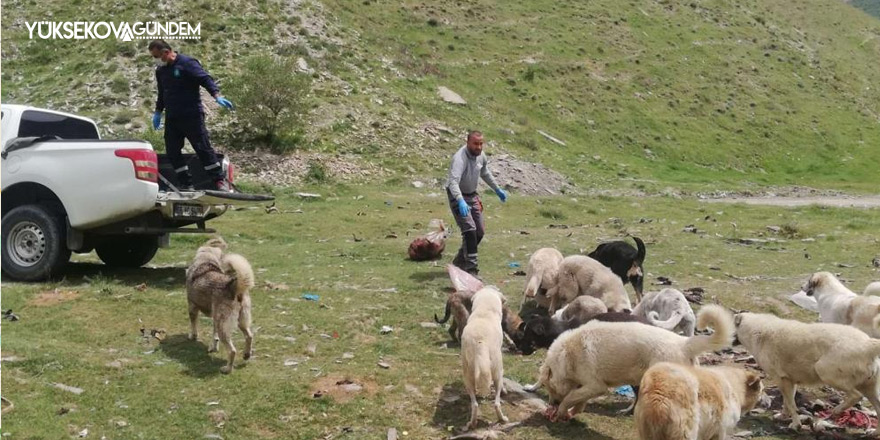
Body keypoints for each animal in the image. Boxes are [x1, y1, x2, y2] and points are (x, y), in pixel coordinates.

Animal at [460, 288, 508, 428]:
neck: (484, 310)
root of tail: (480, 343)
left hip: (467, 375)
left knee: (475, 404)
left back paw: (472, 422)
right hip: (498, 371)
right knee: (497, 403)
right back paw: (503, 419)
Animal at [536, 304, 736, 422]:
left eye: (548, 386)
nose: (551, 404)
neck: (568, 353)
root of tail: (684, 343)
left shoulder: (596, 385)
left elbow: (570, 398)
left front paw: (561, 411)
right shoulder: (588, 387)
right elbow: (579, 401)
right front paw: (570, 413)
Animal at [732, 312, 880, 432]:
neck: (756, 330)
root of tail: (868, 343)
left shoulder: (781, 380)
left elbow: (791, 404)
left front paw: (796, 425)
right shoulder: (789, 381)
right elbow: (788, 402)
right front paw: (783, 416)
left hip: (825, 371)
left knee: (856, 395)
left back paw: (837, 410)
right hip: (869, 388)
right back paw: (873, 433)